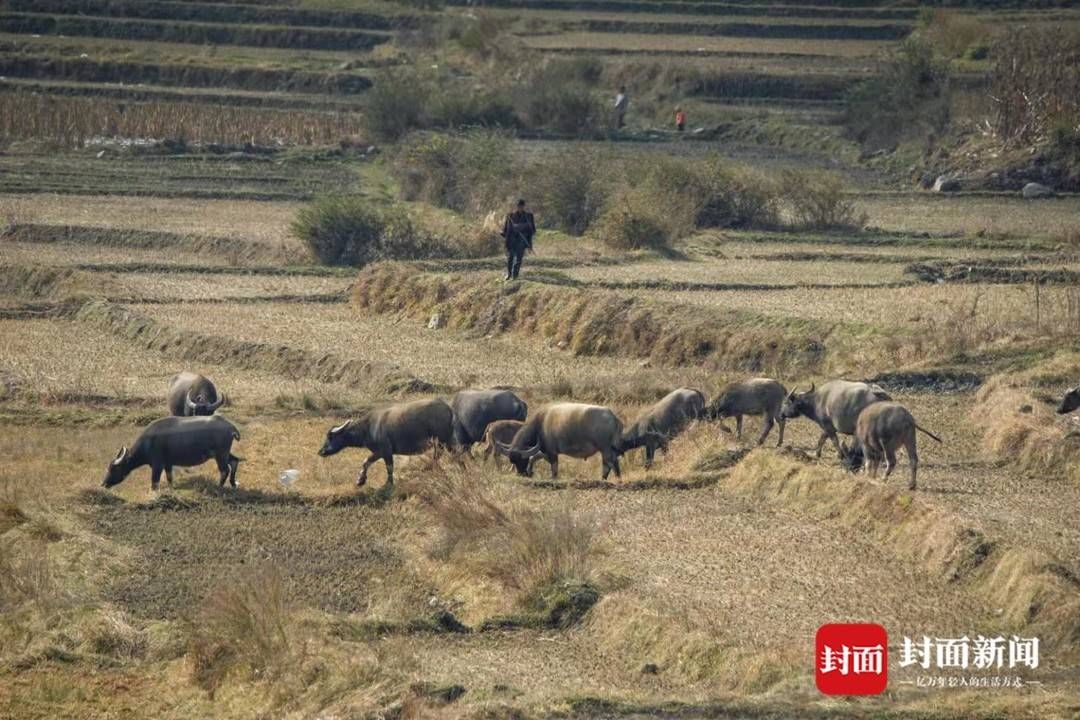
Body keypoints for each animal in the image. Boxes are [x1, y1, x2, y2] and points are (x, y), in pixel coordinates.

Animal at [101, 414, 243, 492]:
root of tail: (230, 426)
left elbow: (154, 482)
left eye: (114, 468)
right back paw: (233, 484)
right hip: (223, 454)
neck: (148, 442)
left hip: (220, 455)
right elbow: (169, 478)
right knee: (234, 461)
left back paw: (219, 486)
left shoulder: (157, 465)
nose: (103, 483)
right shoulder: (168, 464)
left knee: (224, 470)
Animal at [319, 397, 455, 487]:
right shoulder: (378, 452)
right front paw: (360, 480)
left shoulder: (386, 451)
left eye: (330, 437)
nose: (321, 451)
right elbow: (366, 462)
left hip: (442, 441)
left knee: (439, 456)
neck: (368, 427)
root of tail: (448, 408)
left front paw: (388, 483)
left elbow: (389, 467)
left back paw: (428, 468)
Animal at [496, 403, 626, 481]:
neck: (541, 423)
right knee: (609, 464)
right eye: (512, 461)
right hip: (607, 450)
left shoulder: (552, 453)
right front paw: (530, 471)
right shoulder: (544, 451)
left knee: (611, 464)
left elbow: (554, 469)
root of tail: (613, 417)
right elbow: (534, 457)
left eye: (522, 460)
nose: (520, 474)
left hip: (605, 449)